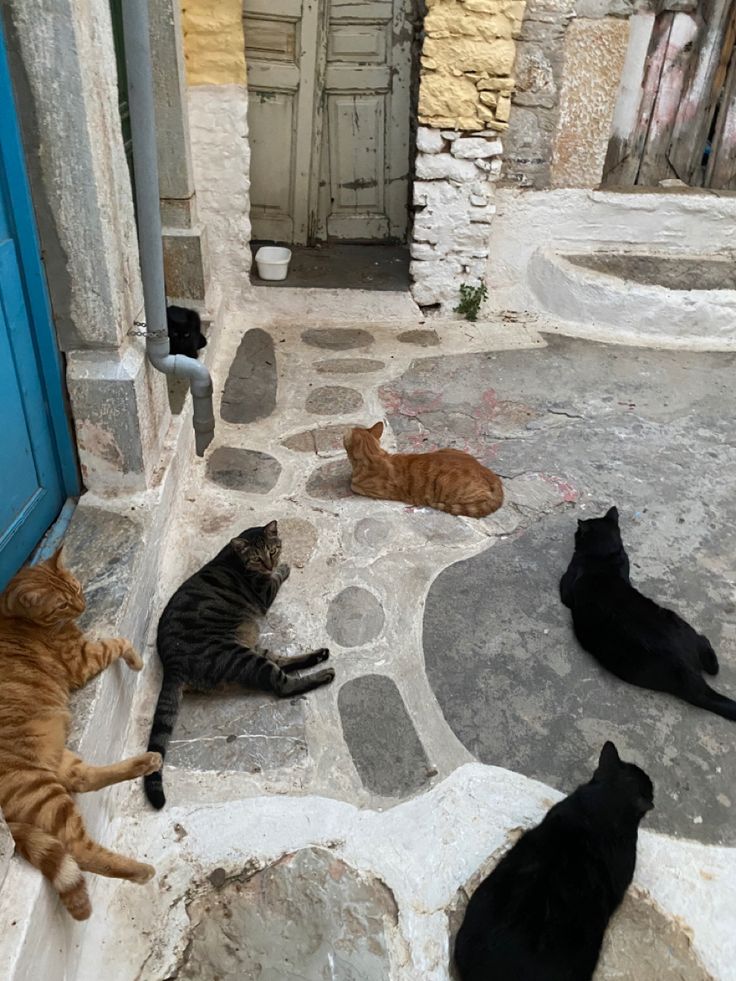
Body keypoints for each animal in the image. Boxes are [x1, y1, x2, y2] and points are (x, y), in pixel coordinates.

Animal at [0, 552, 162, 920]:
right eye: (61, 604)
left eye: (75, 587)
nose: (82, 604)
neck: (13, 618)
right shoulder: (82, 661)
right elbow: (118, 642)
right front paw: (136, 660)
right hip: (40, 791)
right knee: (81, 850)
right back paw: (140, 871)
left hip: (57, 763)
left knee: (84, 779)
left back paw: (146, 762)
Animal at [144, 516, 334, 808]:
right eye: (257, 558)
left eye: (272, 550)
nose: (270, 563)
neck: (234, 557)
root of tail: (171, 664)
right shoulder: (266, 591)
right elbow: (277, 578)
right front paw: (283, 568)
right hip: (239, 656)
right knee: (282, 684)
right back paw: (324, 674)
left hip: (250, 648)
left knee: (282, 664)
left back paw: (318, 656)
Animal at [560, 506, 732, 720]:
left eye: (578, 533)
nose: (575, 532)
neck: (604, 555)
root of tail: (688, 667)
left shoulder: (568, 584)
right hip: (682, 625)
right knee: (707, 647)